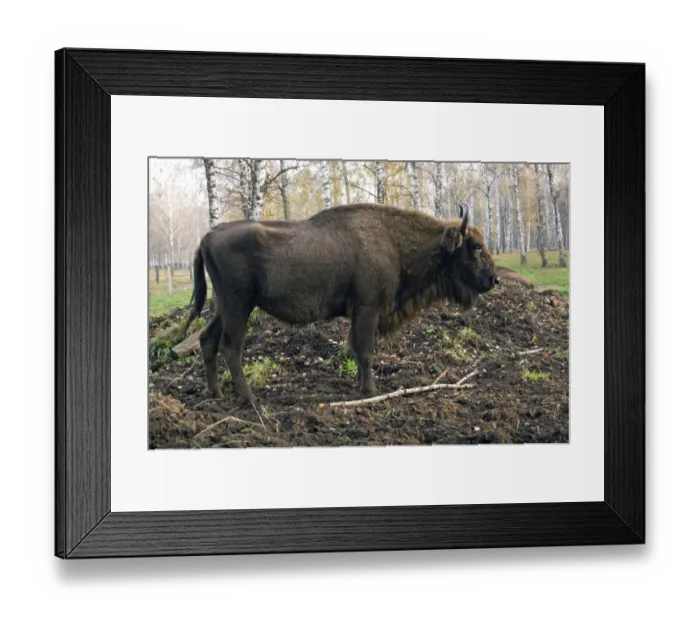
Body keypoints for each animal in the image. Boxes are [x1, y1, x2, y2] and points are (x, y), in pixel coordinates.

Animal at [186, 202, 515, 407]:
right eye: (475, 247)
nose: (493, 279)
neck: (392, 241)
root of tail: (207, 236)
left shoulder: (360, 313)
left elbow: (357, 350)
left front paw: (360, 388)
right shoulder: (368, 309)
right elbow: (366, 351)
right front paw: (370, 391)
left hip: (224, 309)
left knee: (207, 341)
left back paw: (216, 395)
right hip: (238, 306)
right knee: (230, 348)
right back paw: (250, 399)